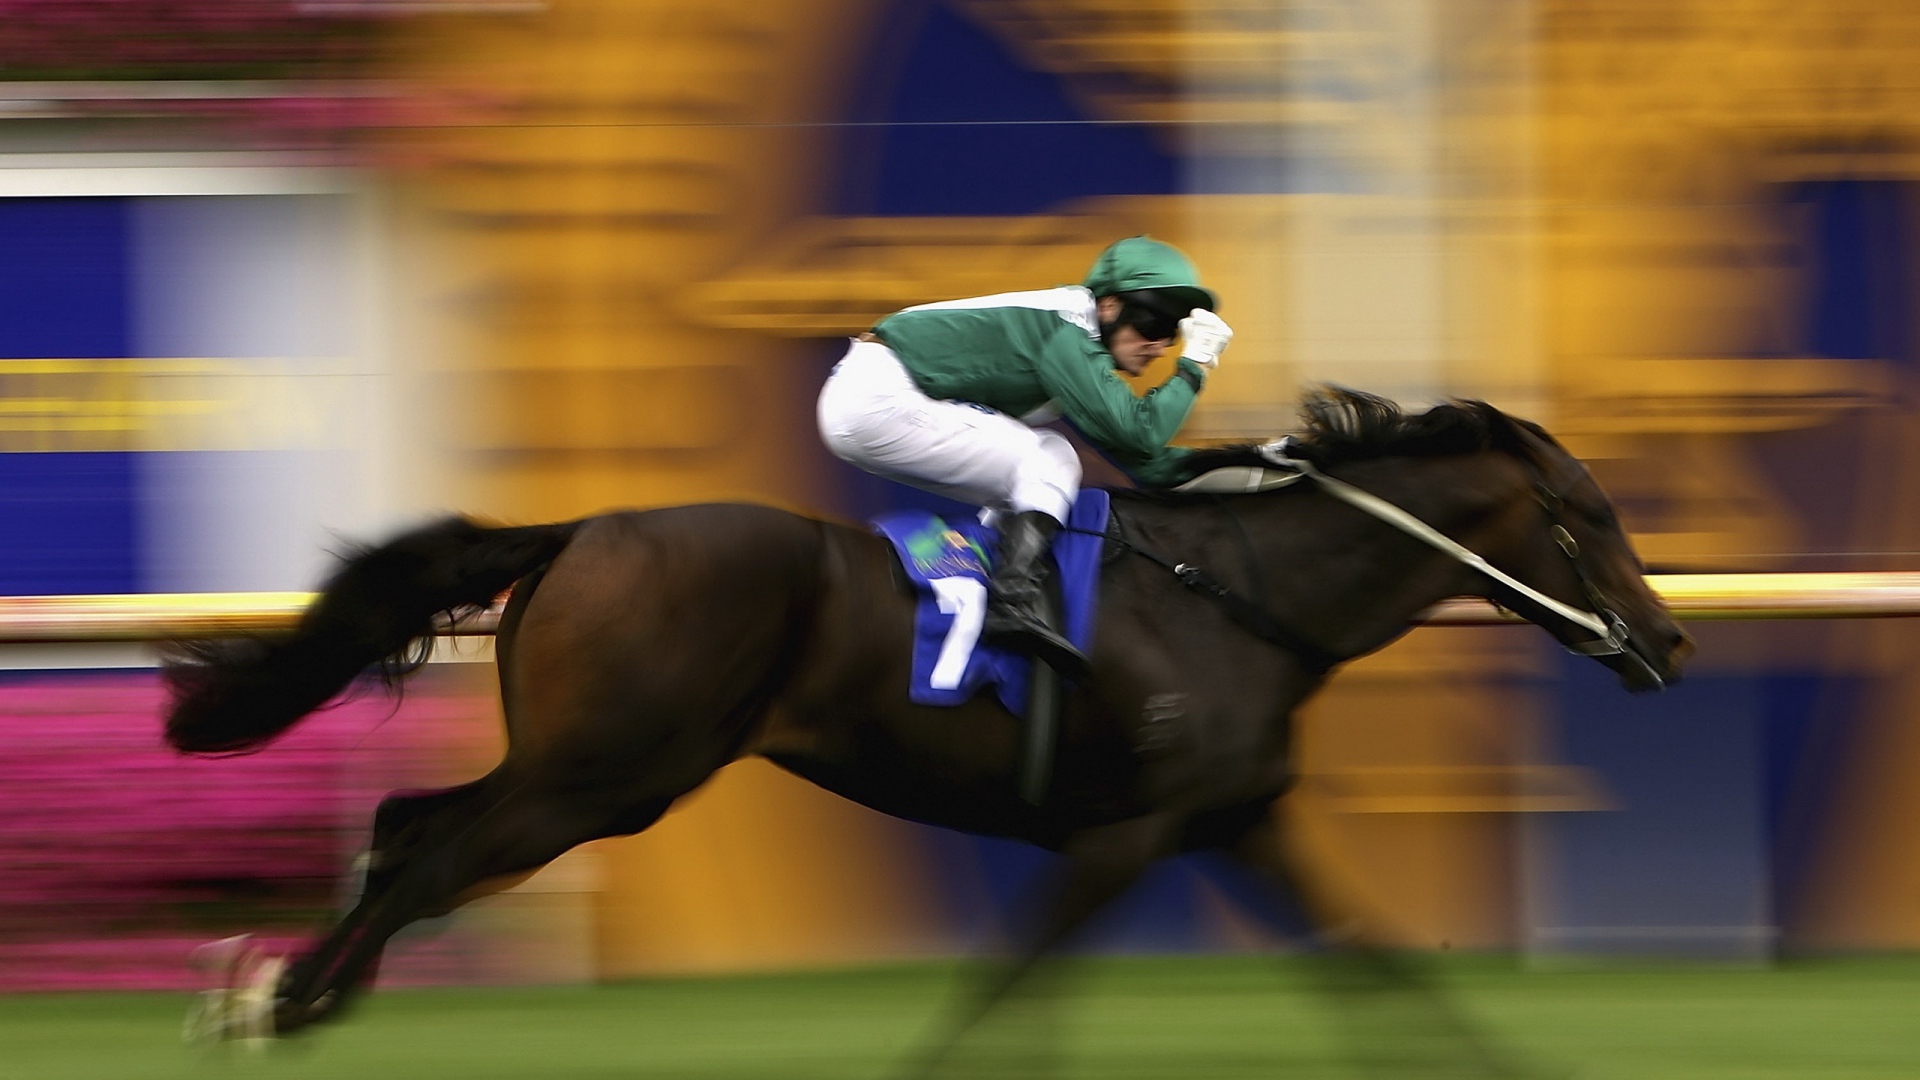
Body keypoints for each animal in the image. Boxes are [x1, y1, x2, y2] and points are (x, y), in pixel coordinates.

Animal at [164, 386, 1691, 1064]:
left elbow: (1370, 960)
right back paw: (288, 1001)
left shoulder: (1234, 820)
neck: (1242, 593)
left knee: (405, 825)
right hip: (607, 775)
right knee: (429, 854)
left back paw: (296, 992)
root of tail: (580, 529)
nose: (1671, 640)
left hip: (582, 768)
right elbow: (1008, 980)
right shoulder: (1126, 835)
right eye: (1591, 516)